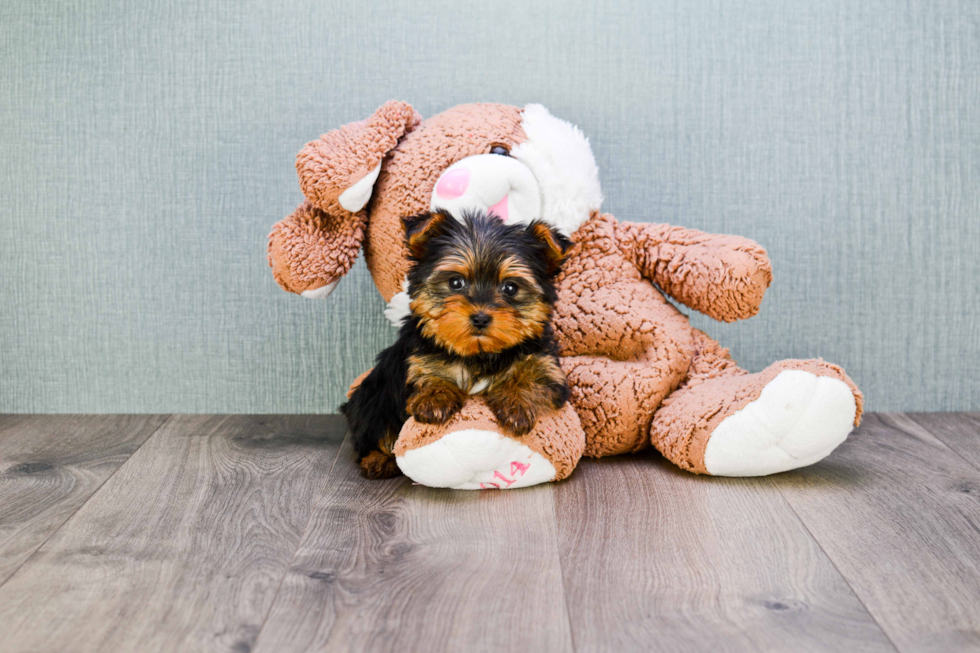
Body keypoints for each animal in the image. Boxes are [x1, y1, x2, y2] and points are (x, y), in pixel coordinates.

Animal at [344, 209, 576, 478]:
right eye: (456, 282)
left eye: (510, 287)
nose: (480, 317)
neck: (479, 354)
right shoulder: (418, 359)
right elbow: (429, 376)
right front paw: (434, 398)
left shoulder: (546, 366)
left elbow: (534, 380)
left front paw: (516, 404)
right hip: (371, 400)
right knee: (374, 431)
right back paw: (378, 460)